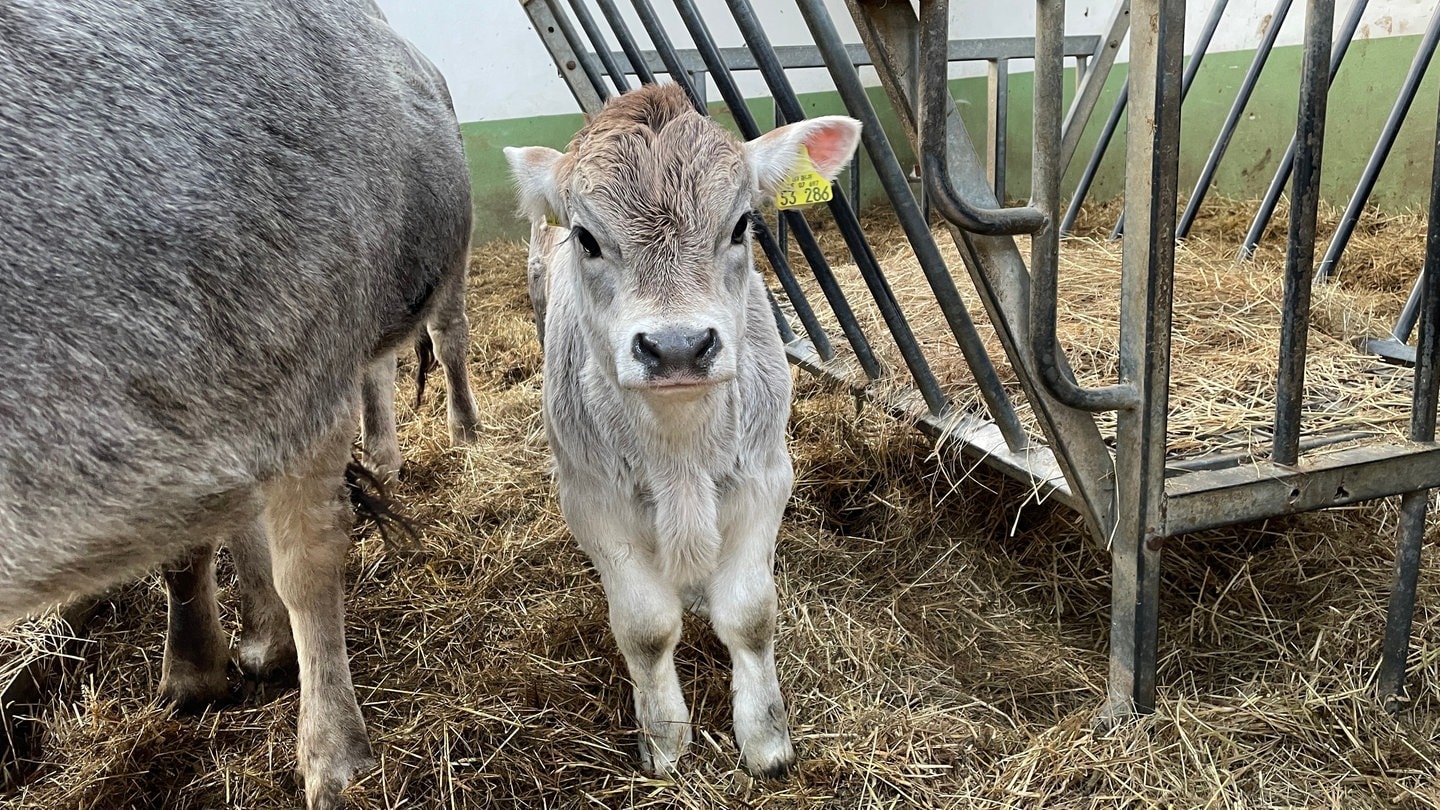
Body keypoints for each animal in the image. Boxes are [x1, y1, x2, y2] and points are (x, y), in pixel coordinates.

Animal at [0, 3, 472, 801]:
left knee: (446, 340)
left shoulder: (306, 374)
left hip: (446, 269)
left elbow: (307, 565)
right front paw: (204, 664)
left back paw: (461, 434)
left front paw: (334, 755)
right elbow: (190, 548)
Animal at [509, 83, 852, 778]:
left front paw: (766, 740)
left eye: (741, 225)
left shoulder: (765, 477)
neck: (681, 450)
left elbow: (749, 615)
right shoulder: (590, 497)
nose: (676, 347)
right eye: (586, 237)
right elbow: (644, 628)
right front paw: (664, 741)